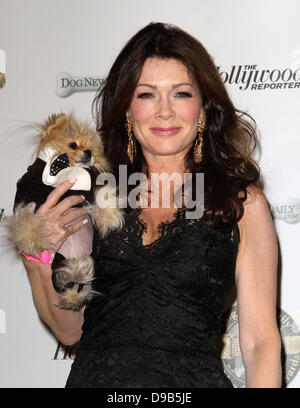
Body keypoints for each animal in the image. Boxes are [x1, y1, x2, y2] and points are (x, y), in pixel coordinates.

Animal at [6, 111, 123, 310]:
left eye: (92, 149)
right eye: (73, 145)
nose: (88, 153)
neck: (67, 168)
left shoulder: (87, 188)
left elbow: (99, 194)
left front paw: (110, 216)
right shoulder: (30, 194)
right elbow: (27, 219)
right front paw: (31, 239)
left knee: (77, 284)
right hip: (59, 260)